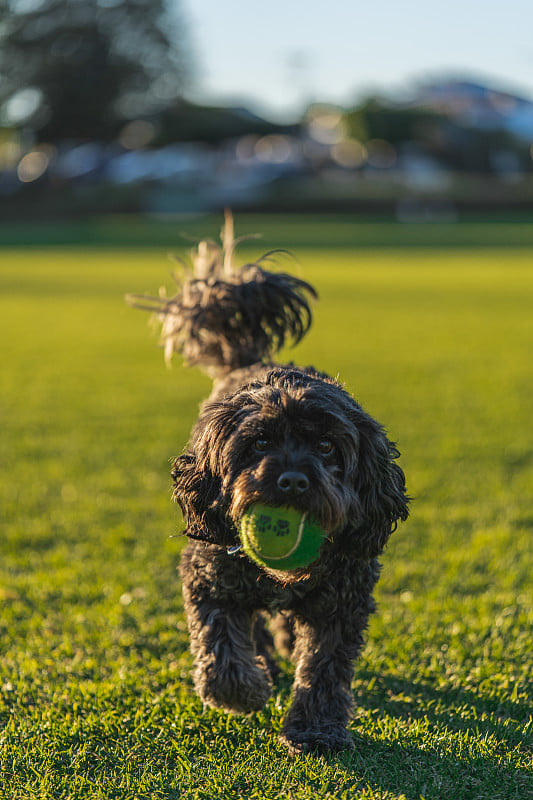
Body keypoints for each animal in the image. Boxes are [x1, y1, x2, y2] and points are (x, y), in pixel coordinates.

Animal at [127, 216, 410, 752]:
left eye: (327, 446)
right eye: (259, 442)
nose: (293, 481)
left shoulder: (344, 601)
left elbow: (324, 667)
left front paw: (316, 728)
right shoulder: (208, 577)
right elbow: (220, 647)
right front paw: (245, 689)